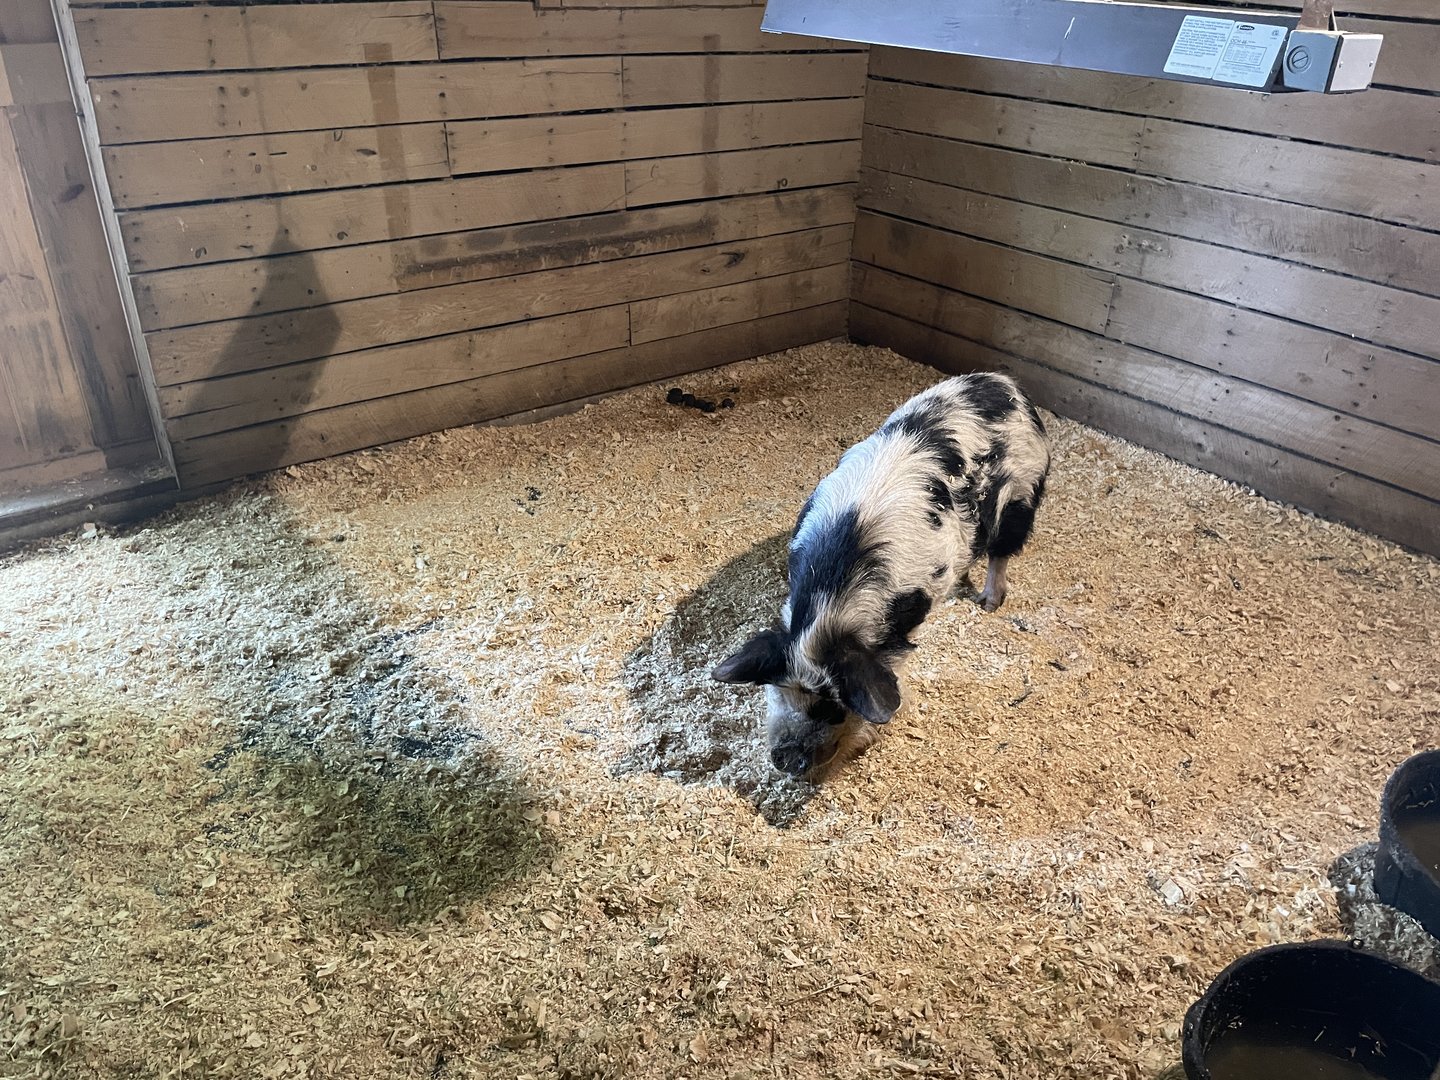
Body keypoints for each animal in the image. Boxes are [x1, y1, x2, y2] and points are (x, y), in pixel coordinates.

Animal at [711, 372, 1051, 778]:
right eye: (779, 689)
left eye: (832, 706)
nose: (788, 759)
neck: (830, 605)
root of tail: (1006, 383)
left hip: (1023, 495)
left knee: (1003, 551)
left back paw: (988, 604)